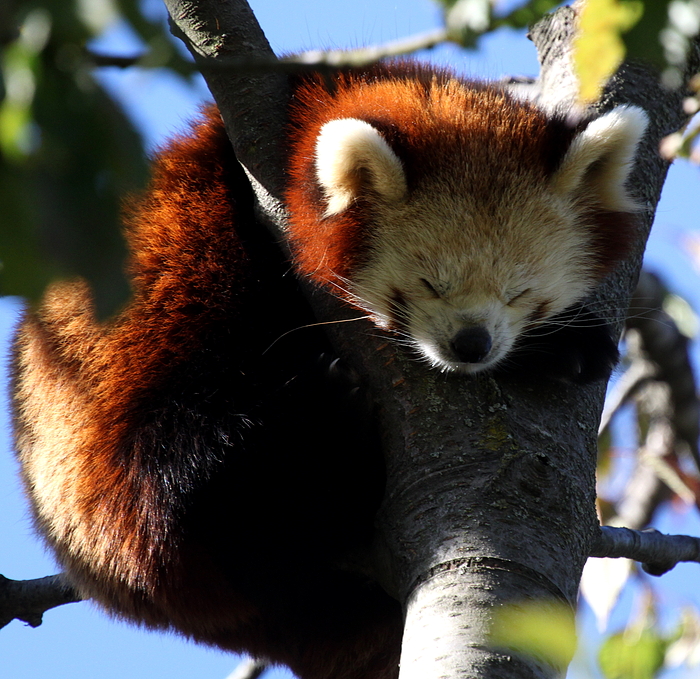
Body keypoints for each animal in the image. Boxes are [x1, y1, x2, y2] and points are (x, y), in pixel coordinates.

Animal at [10, 61, 644, 676]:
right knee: (197, 472)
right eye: (429, 284)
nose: (472, 345)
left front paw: (568, 341)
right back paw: (328, 422)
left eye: (520, 294)